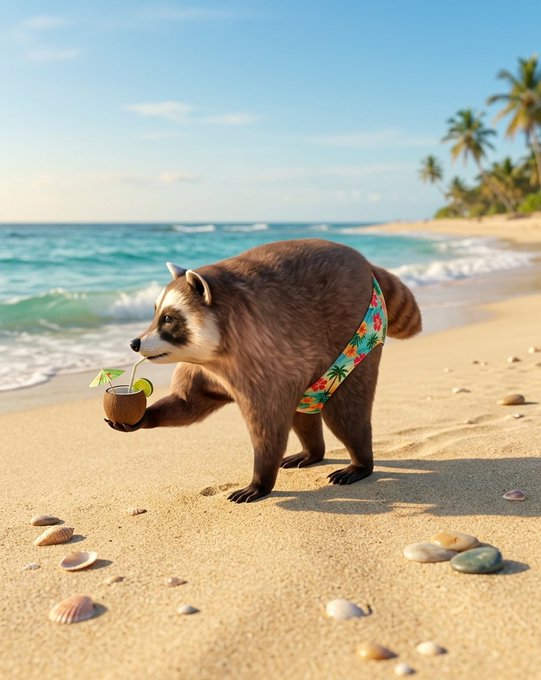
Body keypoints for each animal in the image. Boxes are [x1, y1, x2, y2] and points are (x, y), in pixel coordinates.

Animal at [106, 239, 421, 503]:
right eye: (155, 314)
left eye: (169, 319)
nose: (134, 343)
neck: (214, 356)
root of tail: (365, 263)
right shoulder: (209, 368)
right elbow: (188, 403)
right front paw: (142, 416)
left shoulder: (264, 357)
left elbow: (267, 428)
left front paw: (261, 479)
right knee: (302, 412)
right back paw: (313, 452)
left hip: (356, 341)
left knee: (346, 413)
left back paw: (361, 462)